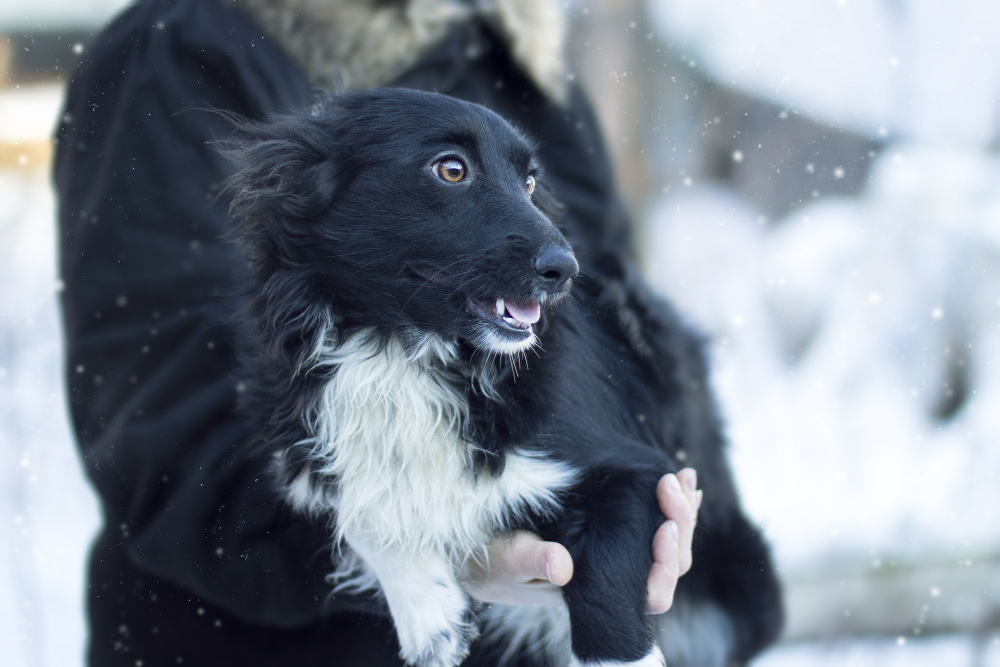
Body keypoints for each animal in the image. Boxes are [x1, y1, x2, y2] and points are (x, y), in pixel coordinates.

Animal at [225, 90, 780, 667]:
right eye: (451, 169)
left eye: (531, 182)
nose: (565, 270)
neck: (404, 352)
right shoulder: (309, 445)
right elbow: (360, 503)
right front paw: (431, 617)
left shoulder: (641, 471)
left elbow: (604, 585)